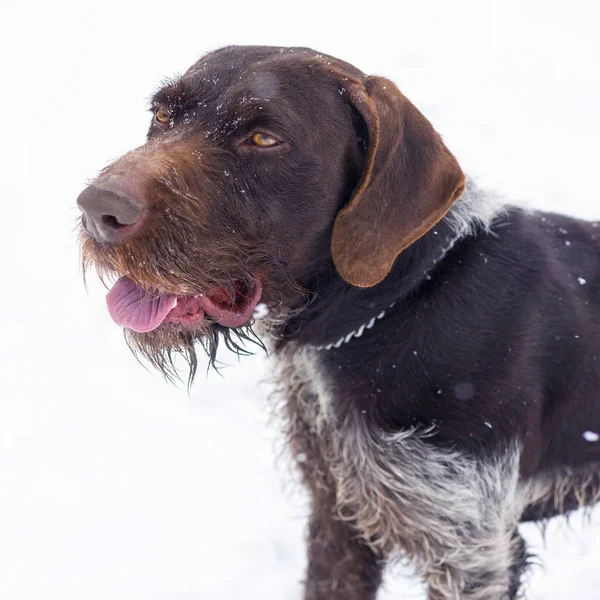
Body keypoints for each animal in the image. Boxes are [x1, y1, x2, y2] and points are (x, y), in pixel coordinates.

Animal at [76, 44, 600, 596]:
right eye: (161, 114)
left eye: (263, 138)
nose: (97, 208)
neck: (394, 305)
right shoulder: (339, 511)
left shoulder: (472, 554)